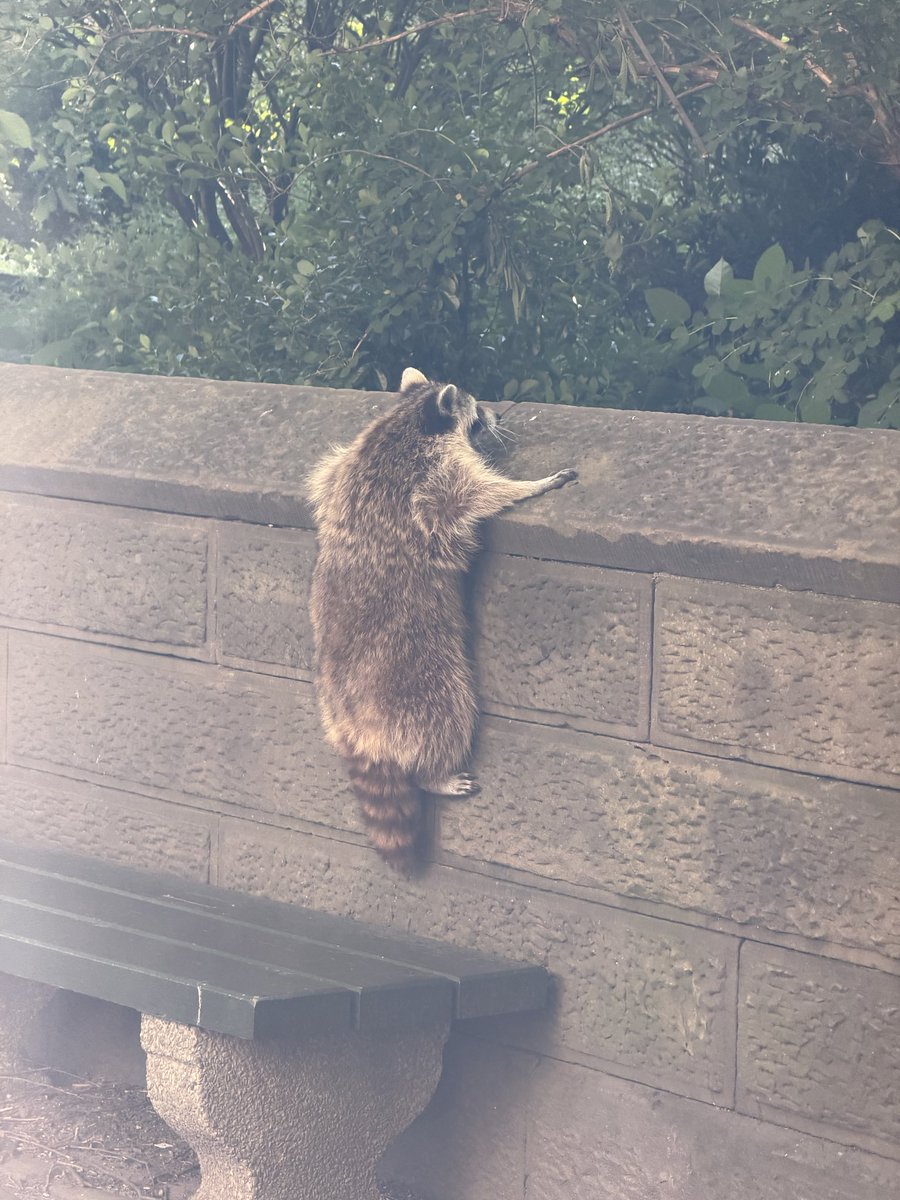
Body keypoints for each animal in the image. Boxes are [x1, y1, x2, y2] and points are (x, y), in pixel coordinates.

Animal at [306, 367, 577, 869]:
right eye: (477, 407)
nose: (497, 414)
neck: (410, 419)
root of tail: (355, 731)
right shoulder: (434, 477)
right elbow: (478, 494)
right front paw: (533, 483)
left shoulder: (342, 468)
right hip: (424, 680)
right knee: (448, 715)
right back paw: (434, 774)